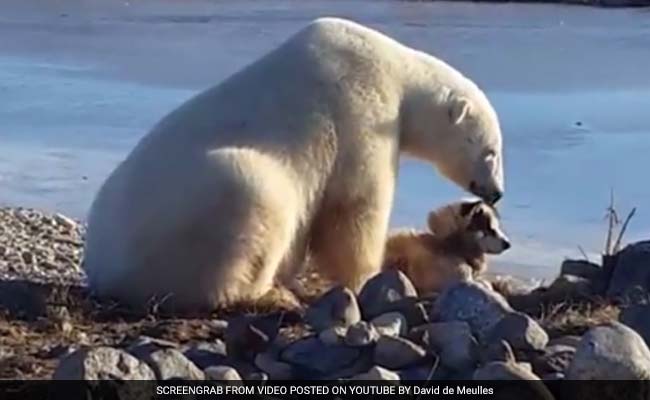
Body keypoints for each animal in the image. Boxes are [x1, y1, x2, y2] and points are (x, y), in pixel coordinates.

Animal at [83, 18, 504, 312]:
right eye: (492, 151)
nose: (497, 192)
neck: (396, 69)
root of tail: (102, 269)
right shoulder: (361, 113)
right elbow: (355, 207)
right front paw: (370, 275)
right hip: (190, 214)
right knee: (254, 196)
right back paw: (265, 293)